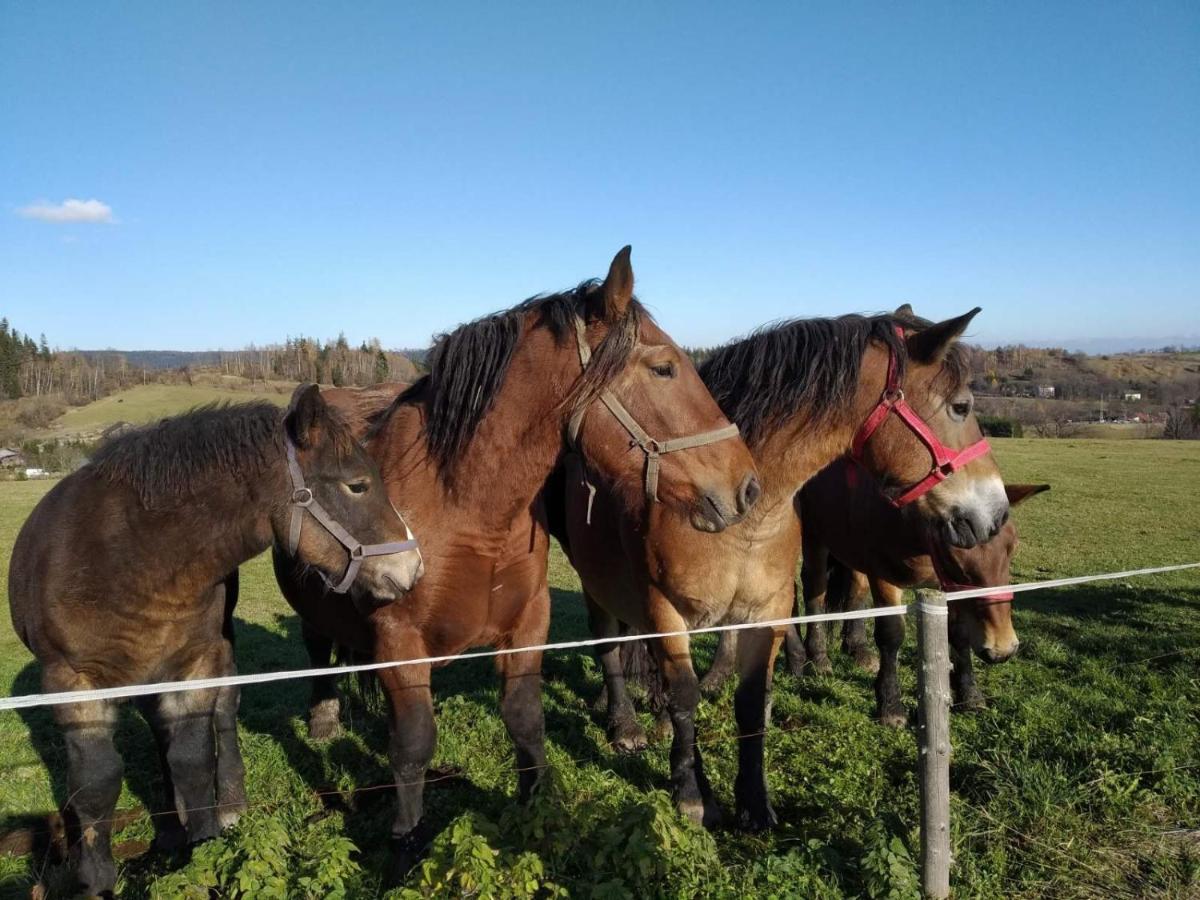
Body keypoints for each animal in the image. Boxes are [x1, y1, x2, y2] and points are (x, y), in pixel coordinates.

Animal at [7, 384, 422, 897]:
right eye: (358, 485)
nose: (411, 567)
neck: (125, 560)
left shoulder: (195, 665)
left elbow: (193, 758)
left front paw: (203, 846)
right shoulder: (72, 682)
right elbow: (97, 783)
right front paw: (98, 879)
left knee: (218, 718)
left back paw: (224, 808)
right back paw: (169, 827)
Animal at [274, 248, 758, 883]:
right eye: (663, 369)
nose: (747, 486)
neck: (463, 508)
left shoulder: (528, 622)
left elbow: (525, 719)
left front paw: (538, 807)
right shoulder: (400, 643)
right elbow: (413, 746)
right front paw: (405, 847)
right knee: (316, 647)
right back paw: (324, 716)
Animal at [549, 309, 1008, 830]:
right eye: (961, 407)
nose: (996, 514)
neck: (743, 515)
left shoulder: (765, 612)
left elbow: (750, 704)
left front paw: (754, 802)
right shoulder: (664, 610)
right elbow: (685, 693)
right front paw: (692, 793)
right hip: (596, 585)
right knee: (609, 647)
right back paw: (624, 723)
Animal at [700, 465, 1046, 724]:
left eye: (1012, 547)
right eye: (956, 554)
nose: (1002, 648)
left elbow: (958, 635)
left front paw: (970, 695)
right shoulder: (885, 575)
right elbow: (891, 634)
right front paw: (890, 706)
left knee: (853, 592)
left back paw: (857, 648)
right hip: (813, 537)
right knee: (812, 590)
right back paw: (817, 657)